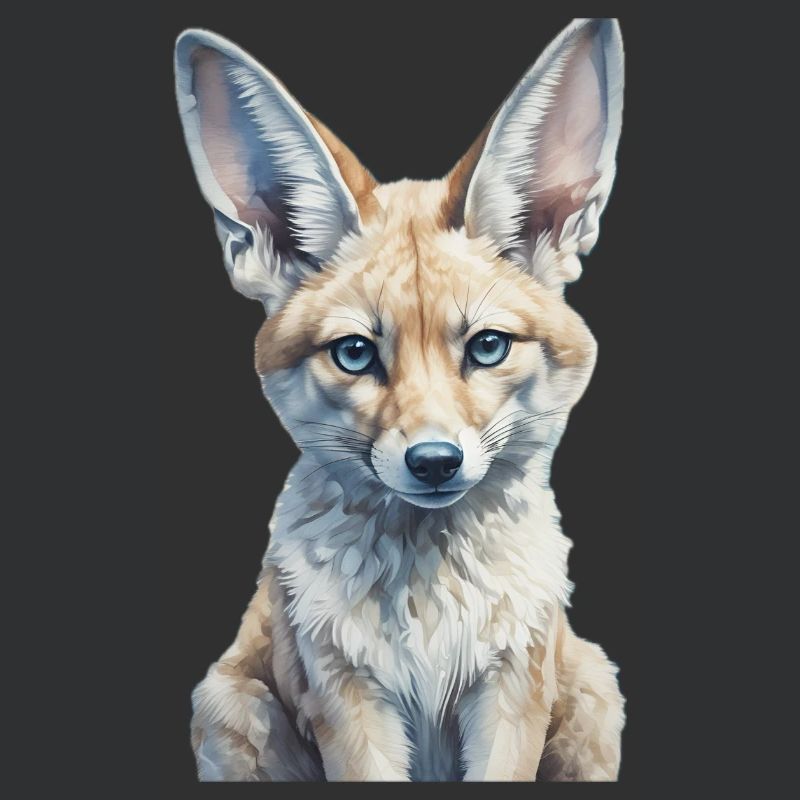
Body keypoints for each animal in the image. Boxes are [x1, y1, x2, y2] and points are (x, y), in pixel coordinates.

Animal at [174, 17, 626, 782]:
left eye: (487, 346)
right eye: (356, 353)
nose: (435, 461)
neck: (430, 608)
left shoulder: (512, 690)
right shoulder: (347, 698)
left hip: (595, 691)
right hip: (227, 707)